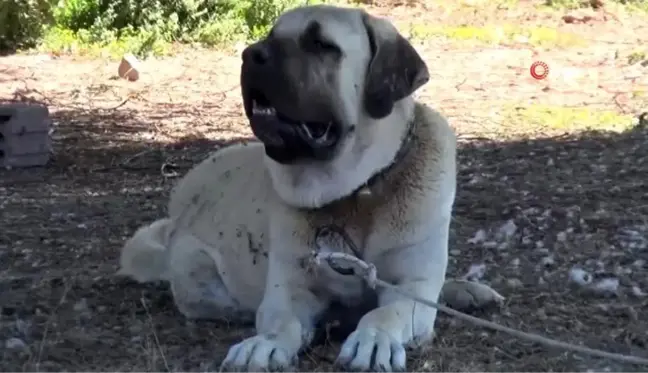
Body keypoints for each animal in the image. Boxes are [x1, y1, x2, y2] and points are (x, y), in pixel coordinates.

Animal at [116, 4, 502, 370]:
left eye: (321, 45)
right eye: (270, 37)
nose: (251, 54)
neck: (357, 195)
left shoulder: (411, 286)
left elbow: (385, 313)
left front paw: (373, 340)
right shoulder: (288, 289)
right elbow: (282, 322)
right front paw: (266, 344)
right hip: (194, 269)